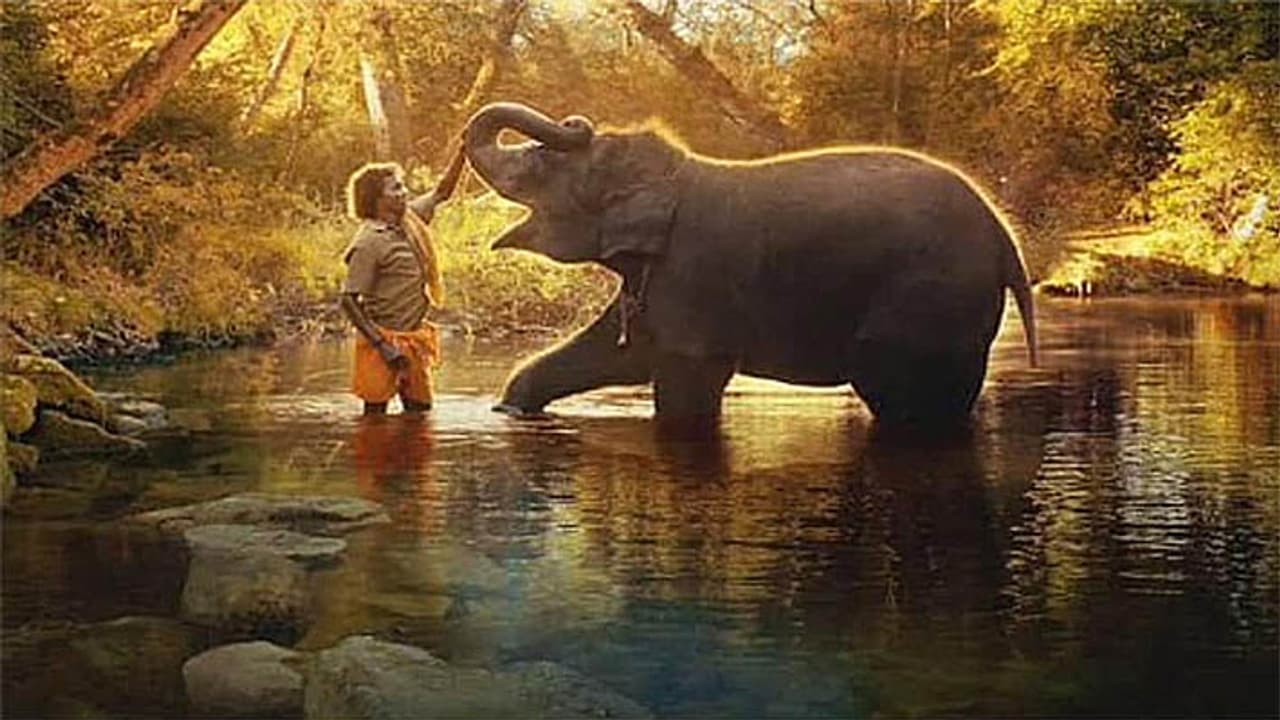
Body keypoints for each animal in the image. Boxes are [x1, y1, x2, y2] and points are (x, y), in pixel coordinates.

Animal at [462, 102, 1037, 426]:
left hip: (928, 297)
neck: (674, 174)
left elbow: (686, 383)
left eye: (543, 163)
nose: (576, 122)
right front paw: (510, 409)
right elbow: (618, 352)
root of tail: (1006, 241)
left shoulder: (695, 273)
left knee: (901, 392)